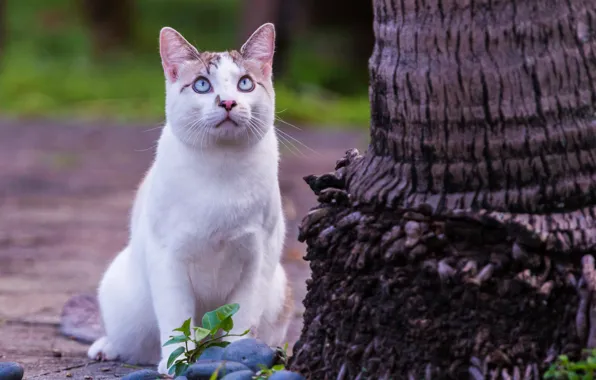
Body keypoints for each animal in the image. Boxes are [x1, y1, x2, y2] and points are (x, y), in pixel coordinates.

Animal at [87, 23, 292, 374]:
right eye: (201, 85)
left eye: (245, 83)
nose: (227, 102)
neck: (222, 167)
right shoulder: (167, 257)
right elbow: (176, 320)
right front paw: (177, 364)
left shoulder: (258, 259)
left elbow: (240, 322)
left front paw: (235, 356)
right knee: (130, 340)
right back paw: (106, 348)